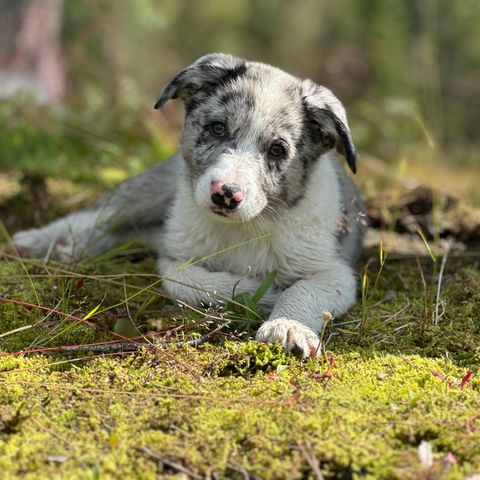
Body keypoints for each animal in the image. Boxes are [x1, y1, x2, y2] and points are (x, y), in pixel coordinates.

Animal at [14, 54, 368, 358]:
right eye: (217, 128)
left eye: (277, 150)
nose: (226, 194)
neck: (243, 229)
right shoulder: (175, 257)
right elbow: (192, 282)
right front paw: (258, 291)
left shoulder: (334, 271)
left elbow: (303, 290)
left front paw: (287, 327)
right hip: (149, 192)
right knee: (95, 218)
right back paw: (42, 241)